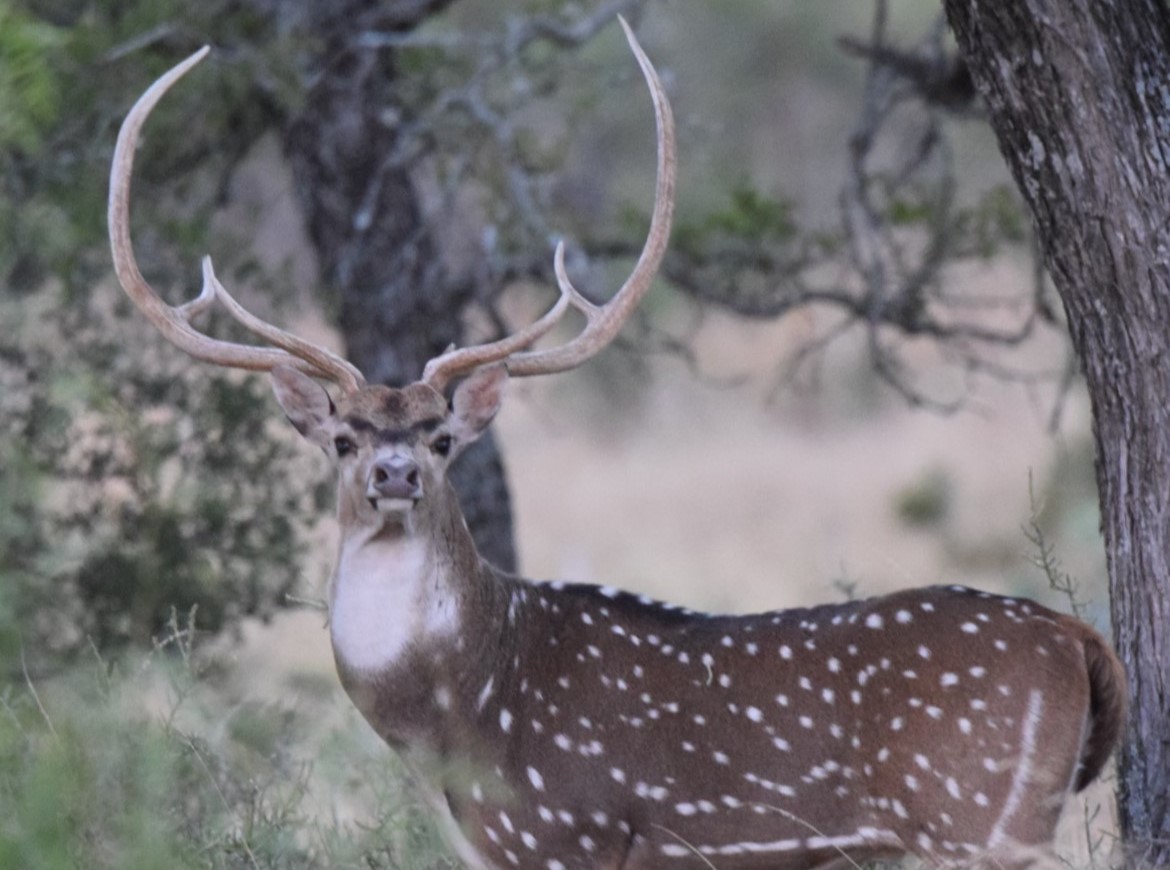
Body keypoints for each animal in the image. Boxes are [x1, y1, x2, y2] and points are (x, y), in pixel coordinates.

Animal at [111, 20, 1123, 869]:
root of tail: (1079, 637)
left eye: (440, 437)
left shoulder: (566, 831)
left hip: (983, 816)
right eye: (345, 437)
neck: (458, 720)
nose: (395, 472)